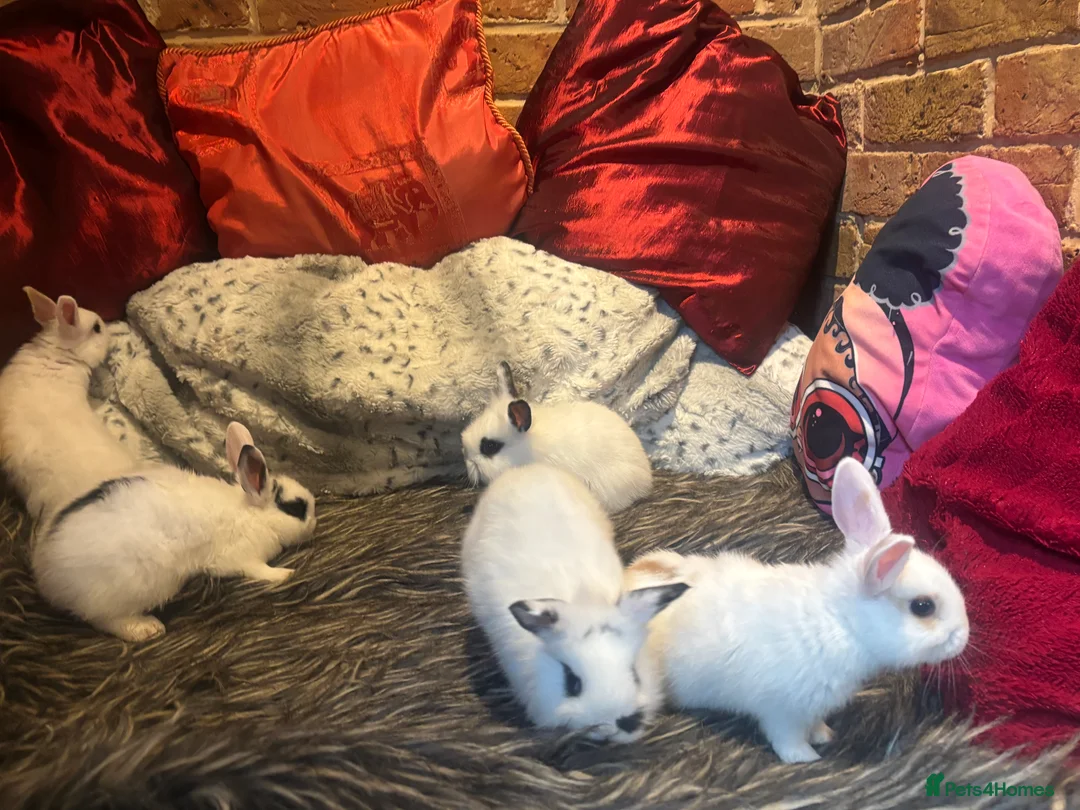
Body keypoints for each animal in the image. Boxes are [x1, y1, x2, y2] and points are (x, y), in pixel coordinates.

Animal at [32, 422, 317, 642]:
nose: (315, 523)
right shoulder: (241, 557)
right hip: (129, 588)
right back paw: (148, 628)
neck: (252, 513)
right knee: (104, 618)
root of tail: (47, 573)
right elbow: (260, 571)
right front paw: (286, 574)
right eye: (296, 508)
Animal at [625, 457, 969, 764]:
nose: (963, 636)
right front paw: (806, 757)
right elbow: (786, 739)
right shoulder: (781, 710)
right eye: (923, 606)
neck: (841, 621)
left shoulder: (810, 708)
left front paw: (824, 735)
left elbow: (814, 724)